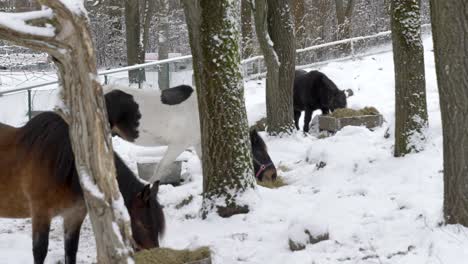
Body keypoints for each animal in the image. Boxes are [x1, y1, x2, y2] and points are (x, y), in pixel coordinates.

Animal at [0, 91, 163, 264]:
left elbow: (71, 251)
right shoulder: (40, 214)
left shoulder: (74, 216)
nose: (156, 252)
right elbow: (40, 252)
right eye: (141, 224)